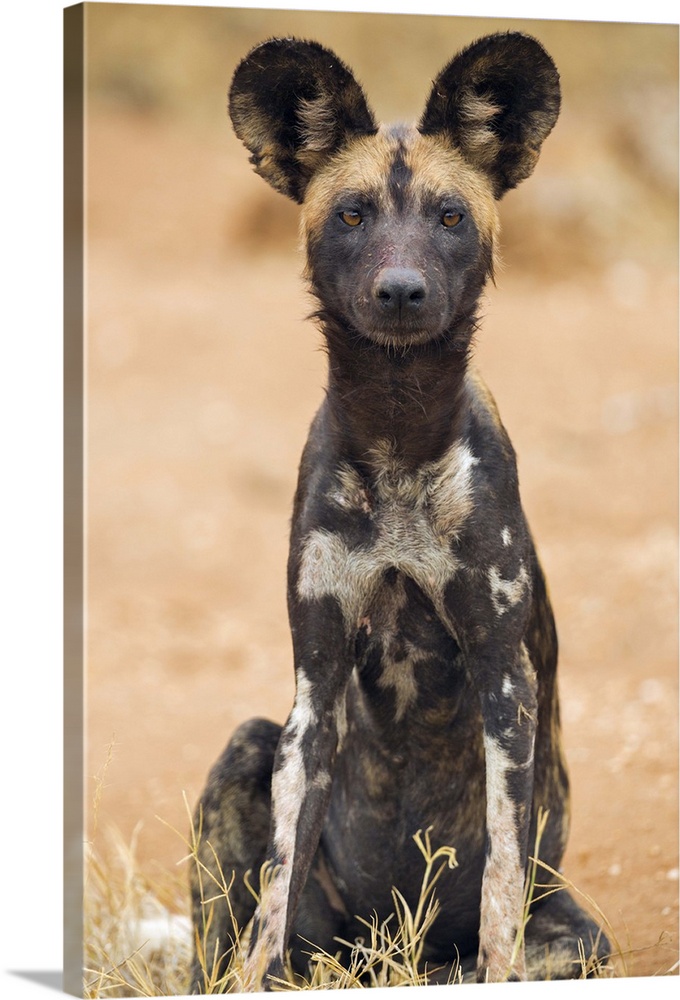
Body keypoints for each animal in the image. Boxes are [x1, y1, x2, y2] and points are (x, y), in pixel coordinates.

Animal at [190, 31, 612, 992]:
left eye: (450, 217)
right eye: (351, 216)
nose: (402, 289)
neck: (396, 434)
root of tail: (392, 954)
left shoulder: (505, 681)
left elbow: (499, 885)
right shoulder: (313, 688)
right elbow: (271, 903)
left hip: (574, 934)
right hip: (255, 752)